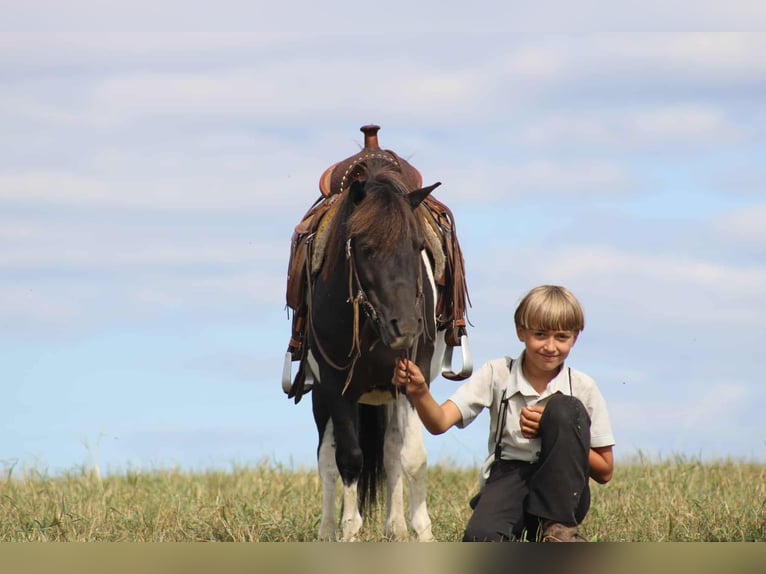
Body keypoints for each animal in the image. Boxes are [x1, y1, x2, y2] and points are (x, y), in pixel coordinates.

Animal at [305, 159, 442, 541]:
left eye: (417, 245)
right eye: (366, 248)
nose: (407, 327)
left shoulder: (413, 379)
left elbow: (411, 456)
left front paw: (422, 531)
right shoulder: (336, 387)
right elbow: (349, 459)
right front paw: (349, 531)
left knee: (391, 450)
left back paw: (395, 528)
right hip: (321, 398)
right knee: (327, 458)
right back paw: (327, 530)